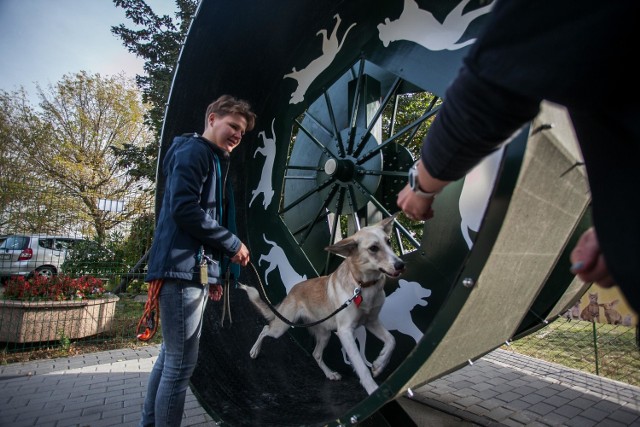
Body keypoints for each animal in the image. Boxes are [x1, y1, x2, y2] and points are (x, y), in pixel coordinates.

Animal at [240, 216, 404, 396]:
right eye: (373, 248)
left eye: (389, 242)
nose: (401, 265)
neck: (363, 285)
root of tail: (292, 290)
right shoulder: (345, 332)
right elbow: (361, 366)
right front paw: (373, 389)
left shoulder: (371, 322)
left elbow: (392, 340)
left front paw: (380, 364)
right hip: (282, 327)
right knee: (265, 329)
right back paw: (255, 350)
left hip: (324, 334)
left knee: (316, 354)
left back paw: (330, 373)